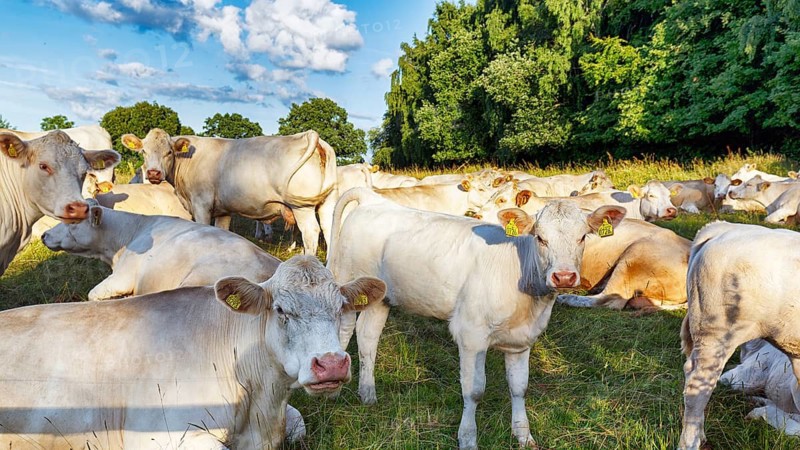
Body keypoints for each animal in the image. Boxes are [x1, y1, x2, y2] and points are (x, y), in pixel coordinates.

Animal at [121, 128, 337, 255]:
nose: (153, 173)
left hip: (302, 207)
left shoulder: (201, 205)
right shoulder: (222, 211)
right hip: (327, 203)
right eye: (144, 152)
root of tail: (310, 136)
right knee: (329, 229)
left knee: (311, 233)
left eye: (169, 152)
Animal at [327, 187, 626, 449]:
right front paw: (468, 438)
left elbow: (519, 387)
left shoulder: (521, 340)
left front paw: (523, 436)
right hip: (347, 286)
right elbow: (474, 390)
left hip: (381, 299)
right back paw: (334, 391)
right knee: (344, 331)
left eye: (583, 237)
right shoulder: (470, 335)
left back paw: (368, 395)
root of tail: (372, 199)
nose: (563, 276)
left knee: (368, 337)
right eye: (540, 238)